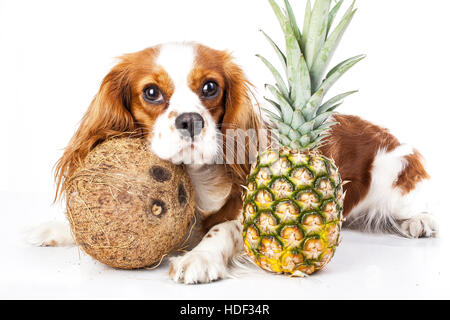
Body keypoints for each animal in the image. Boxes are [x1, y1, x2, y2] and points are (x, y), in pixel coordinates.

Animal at [27, 42, 436, 284]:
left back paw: (419, 221)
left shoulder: (247, 211)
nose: (190, 120)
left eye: (210, 87)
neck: (193, 178)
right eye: (151, 92)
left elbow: (223, 230)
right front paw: (55, 228)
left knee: (412, 204)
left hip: (395, 171)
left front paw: (198, 258)